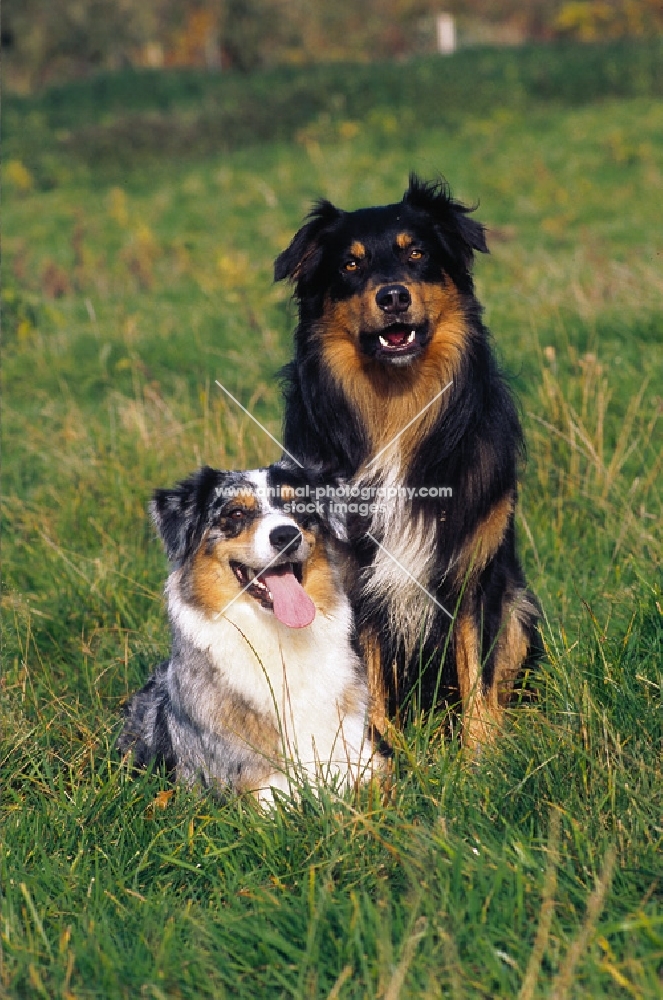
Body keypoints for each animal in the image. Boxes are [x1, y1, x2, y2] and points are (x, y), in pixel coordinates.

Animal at [274, 176, 540, 748]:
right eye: (350, 265)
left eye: (416, 253)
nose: (392, 295)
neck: (396, 408)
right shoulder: (352, 574)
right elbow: (366, 671)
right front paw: (380, 748)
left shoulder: (473, 567)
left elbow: (476, 668)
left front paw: (481, 754)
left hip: (520, 605)